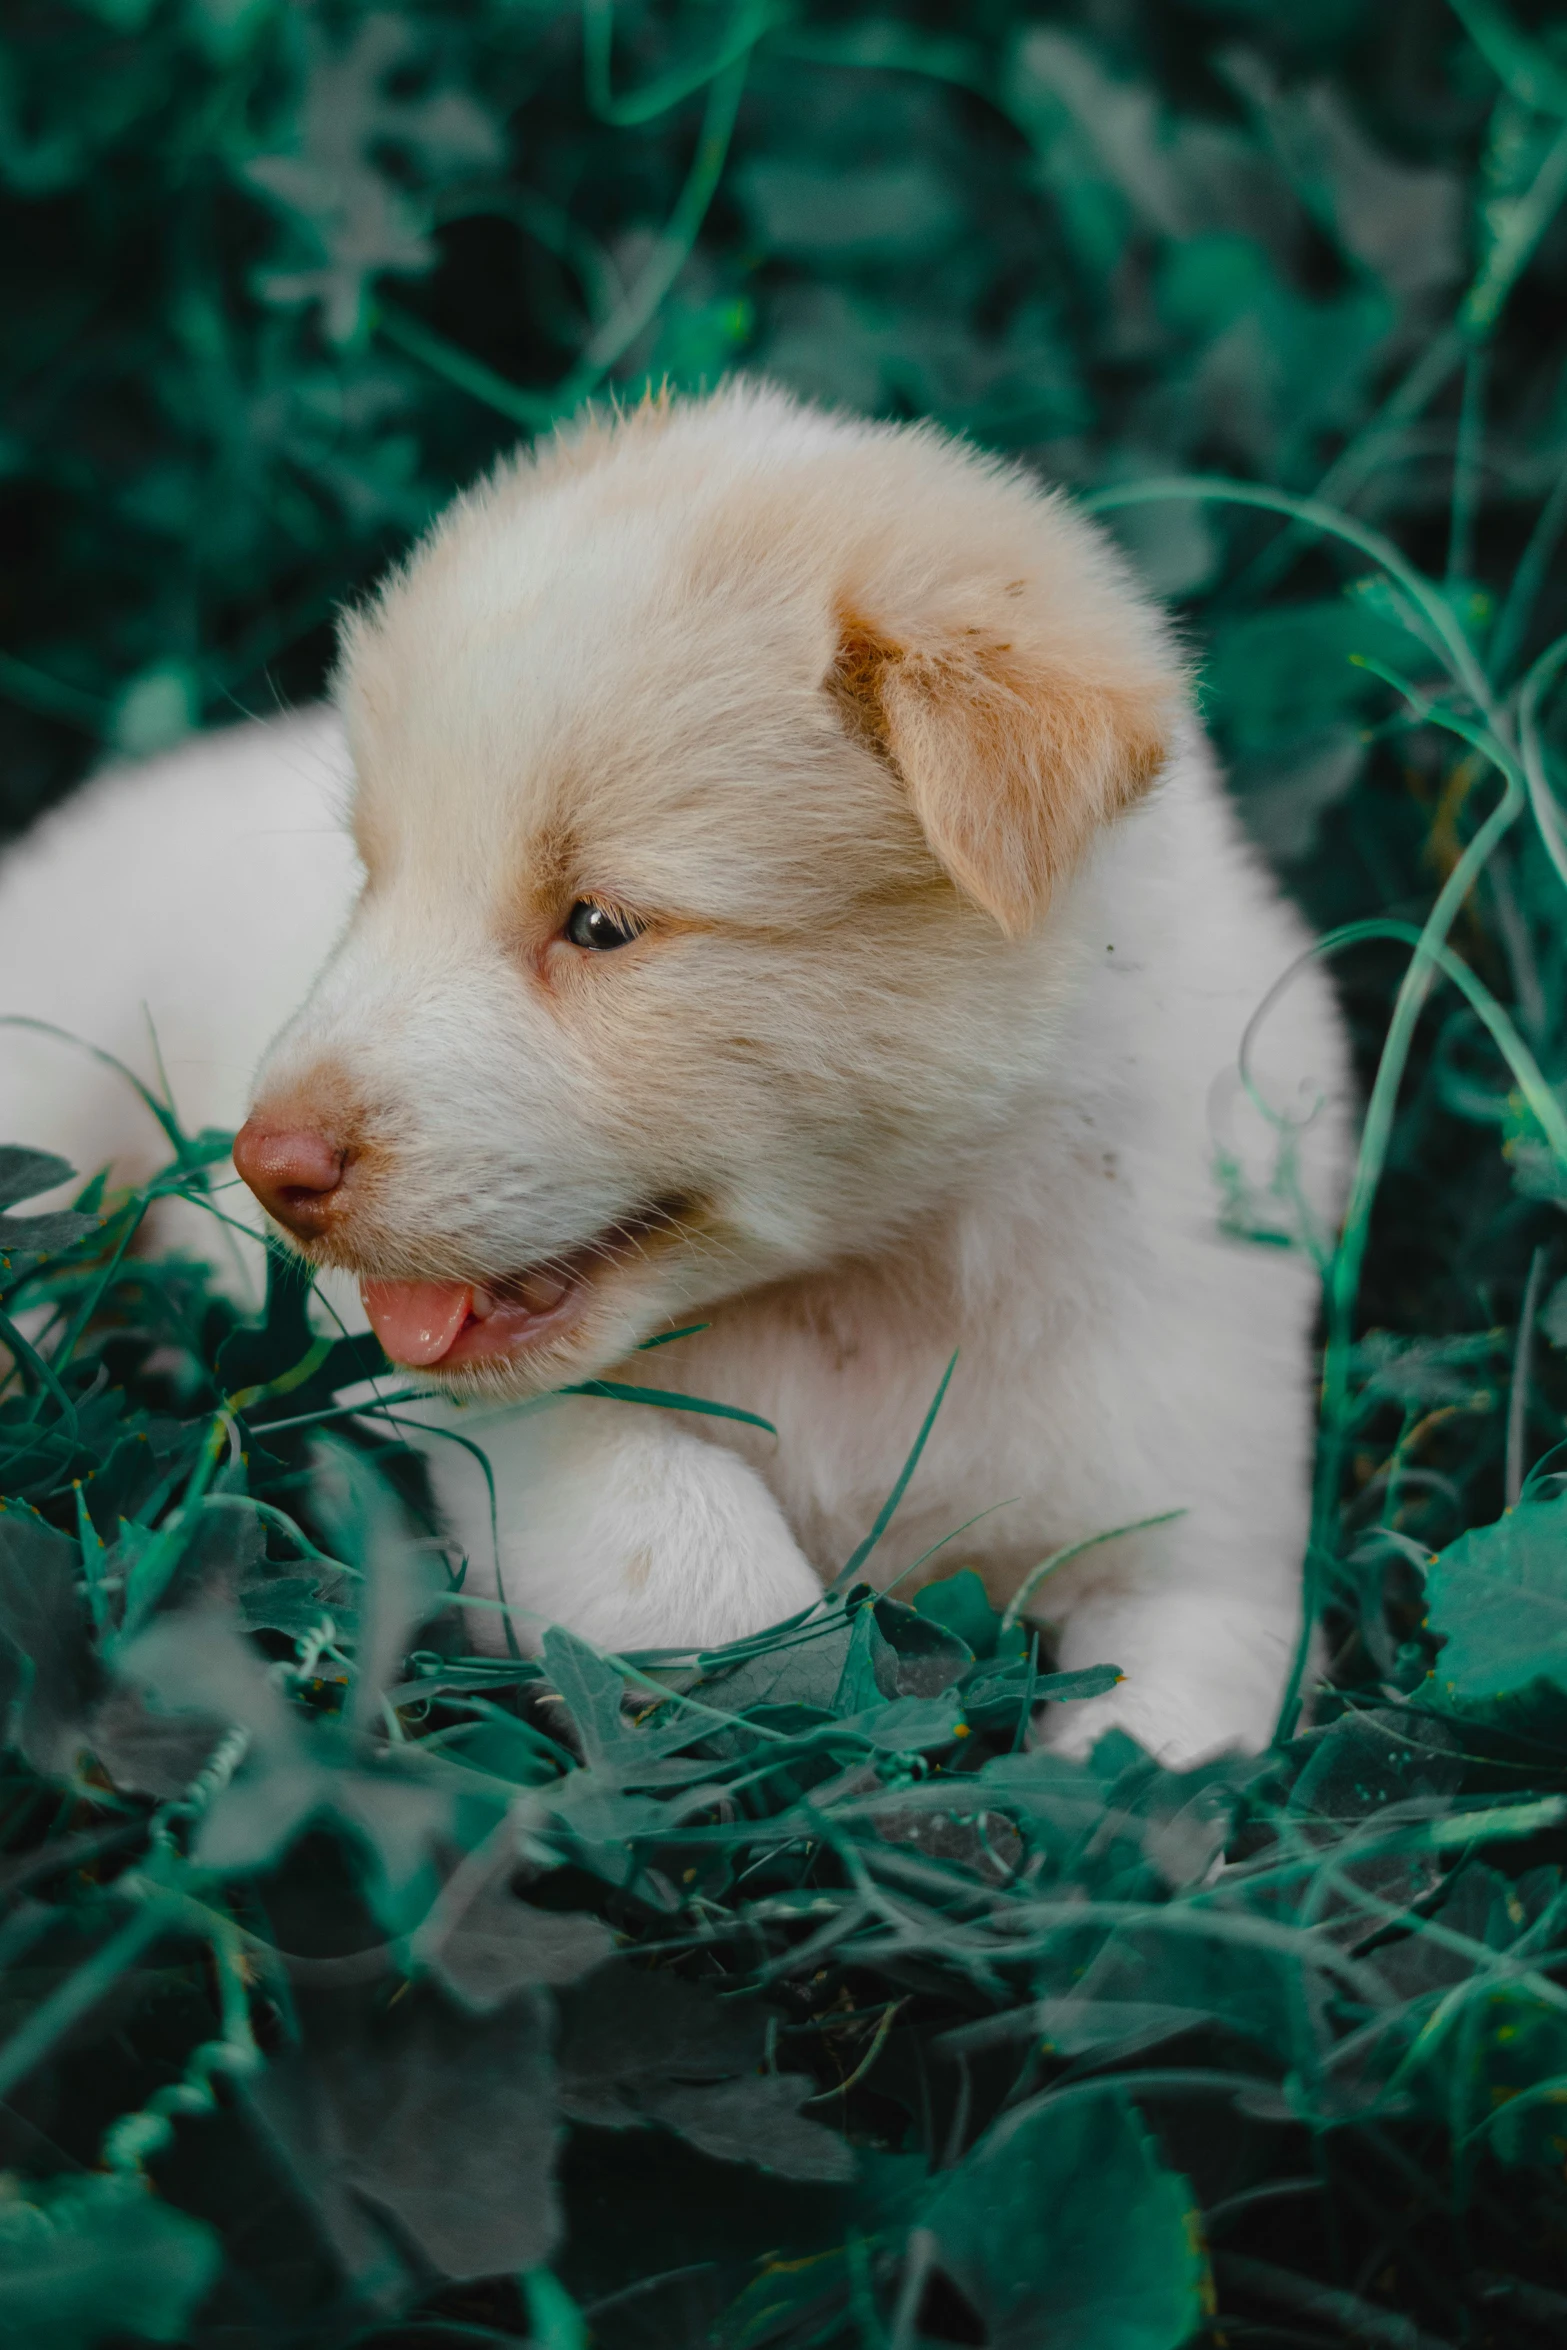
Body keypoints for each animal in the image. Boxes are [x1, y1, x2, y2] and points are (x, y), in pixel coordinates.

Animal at [0, 385, 1353, 1757]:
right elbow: (695, 1550)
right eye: (371, 879)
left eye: (599, 923)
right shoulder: (527, 1426)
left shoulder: (1202, 1538)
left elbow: (1167, 1742)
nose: (266, 1165)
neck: (873, 1285)